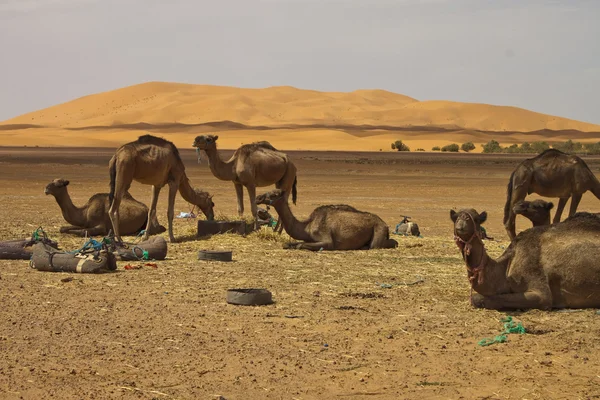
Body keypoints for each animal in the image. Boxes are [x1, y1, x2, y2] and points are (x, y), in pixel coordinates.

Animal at [255, 188, 396, 250]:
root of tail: (385, 224)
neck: (307, 226)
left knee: (385, 243)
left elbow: (301, 245)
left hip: (378, 231)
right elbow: (289, 243)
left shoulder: (327, 241)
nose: (258, 197)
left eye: (274, 194)